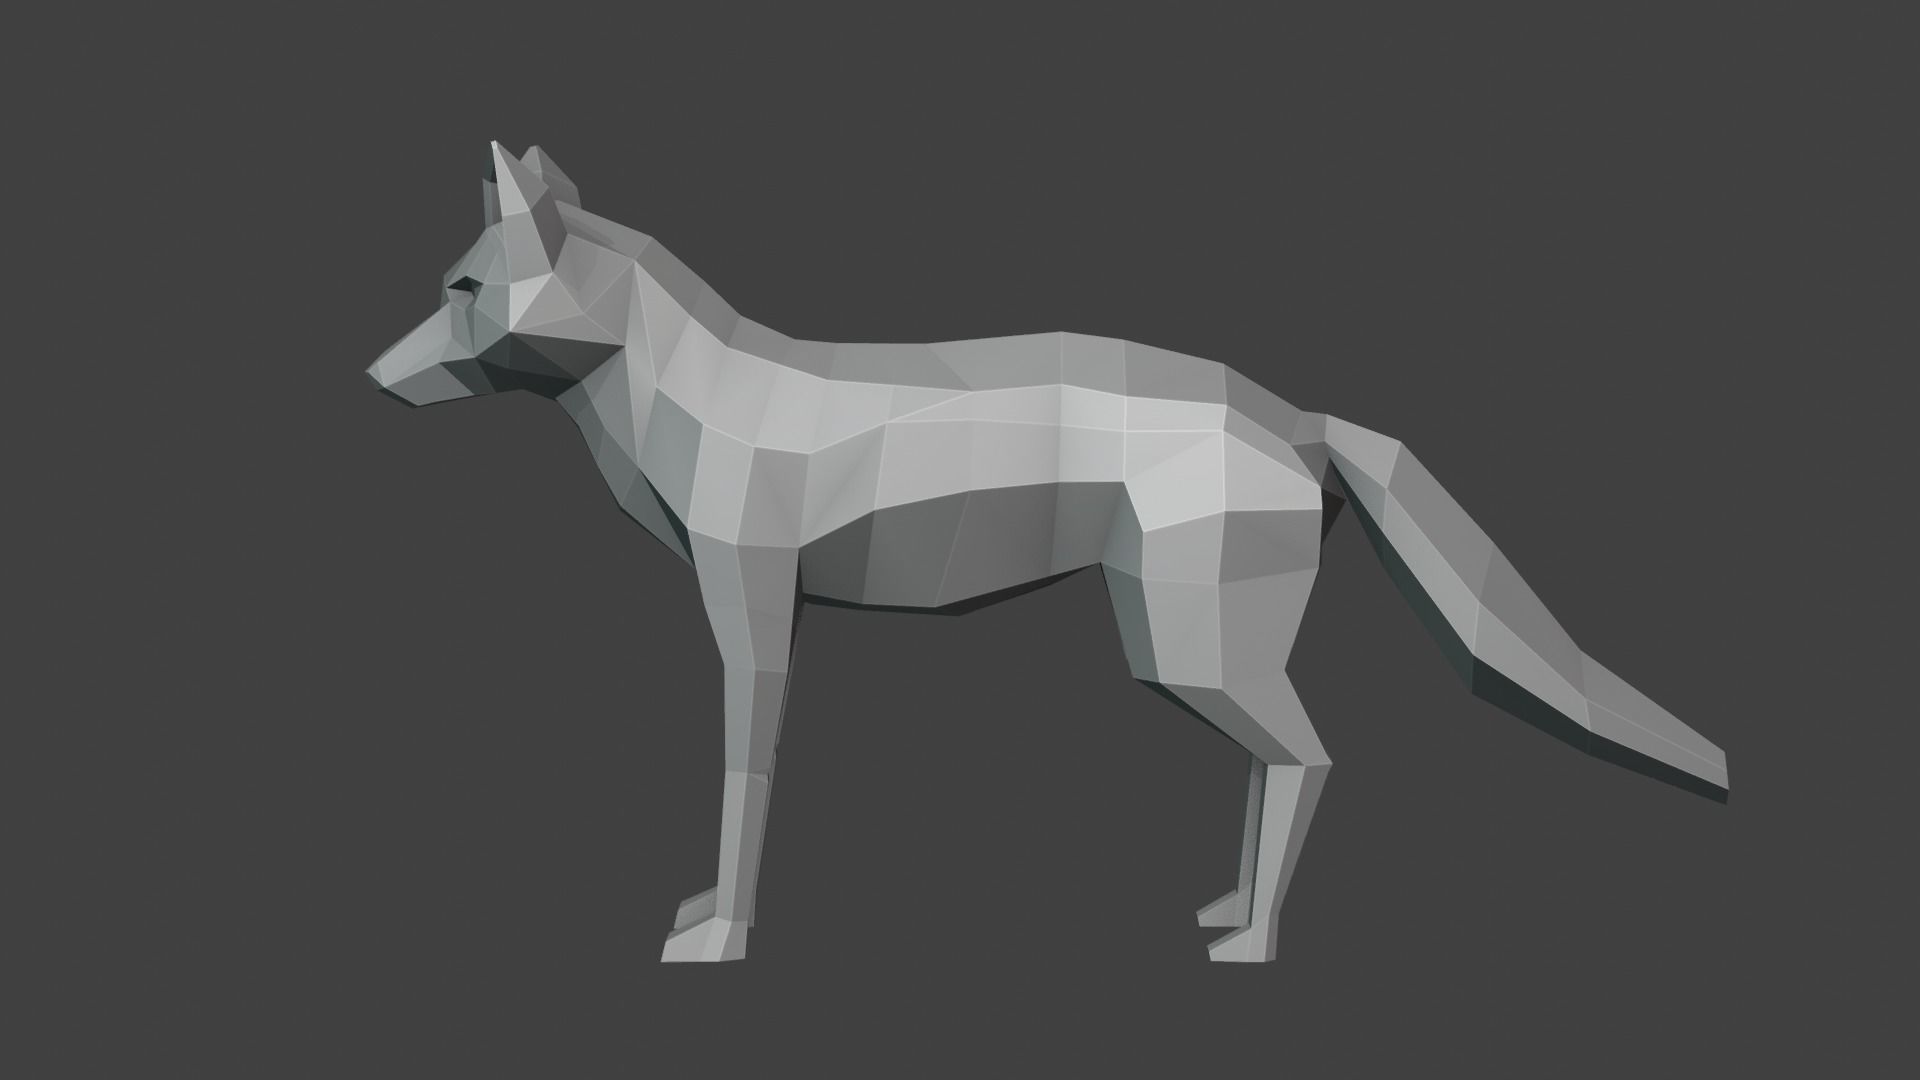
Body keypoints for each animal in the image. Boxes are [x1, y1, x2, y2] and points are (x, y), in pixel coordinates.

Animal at [368, 143, 1728, 963]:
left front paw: (722, 938)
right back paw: (1230, 907)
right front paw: (711, 916)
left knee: (1315, 757)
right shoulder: (775, 620)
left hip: (1188, 652)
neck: (688, 395)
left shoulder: (751, 623)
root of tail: (1296, 415)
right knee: (1273, 767)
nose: (373, 379)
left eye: (461, 290)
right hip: (1191, 651)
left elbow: (740, 786)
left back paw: (1256, 944)